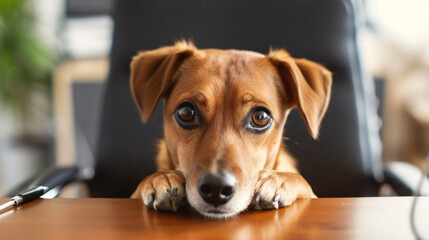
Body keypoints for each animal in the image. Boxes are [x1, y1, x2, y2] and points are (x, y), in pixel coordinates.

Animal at [130, 41, 332, 219]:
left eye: (260, 117)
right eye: (186, 112)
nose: (216, 188)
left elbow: (304, 184)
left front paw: (279, 180)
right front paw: (159, 178)